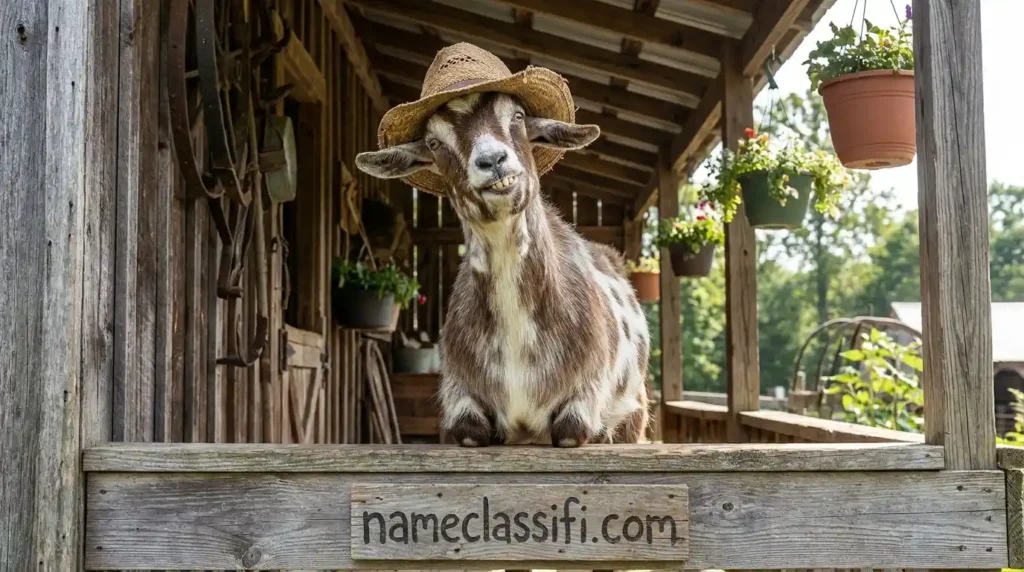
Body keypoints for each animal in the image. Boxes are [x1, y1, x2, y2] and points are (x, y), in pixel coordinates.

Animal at [356, 92, 650, 447]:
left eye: (518, 116)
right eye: (433, 142)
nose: (493, 160)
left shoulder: (588, 394)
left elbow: (570, 429)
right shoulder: (458, 390)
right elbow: (469, 429)